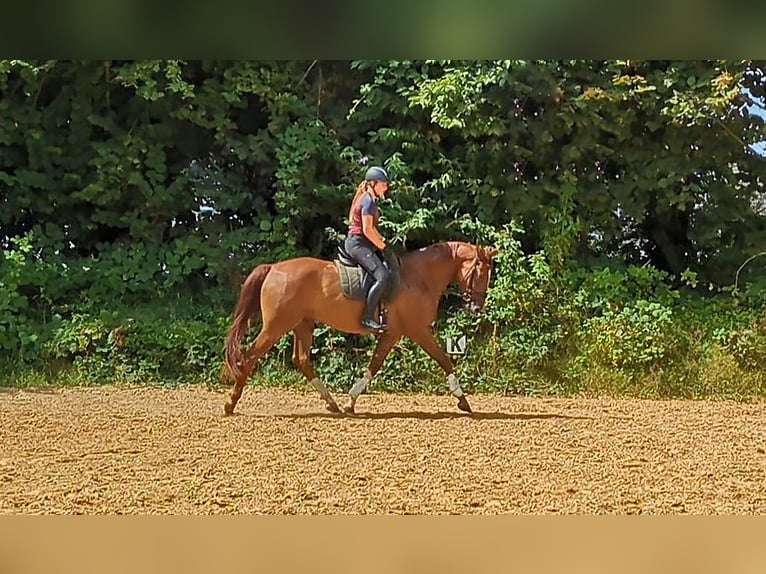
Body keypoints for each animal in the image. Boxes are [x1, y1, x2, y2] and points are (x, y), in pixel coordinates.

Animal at [222, 241, 498, 416]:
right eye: (481, 271)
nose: (477, 306)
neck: (419, 278)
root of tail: (273, 268)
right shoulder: (417, 330)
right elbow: (443, 360)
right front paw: (463, 400)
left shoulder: (391, 334)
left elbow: (374, 365)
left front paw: (349, 402)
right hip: (276, 326)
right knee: (249, 356)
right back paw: (231, 403)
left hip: (302, 324)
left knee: (300, 359)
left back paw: (331, 403)